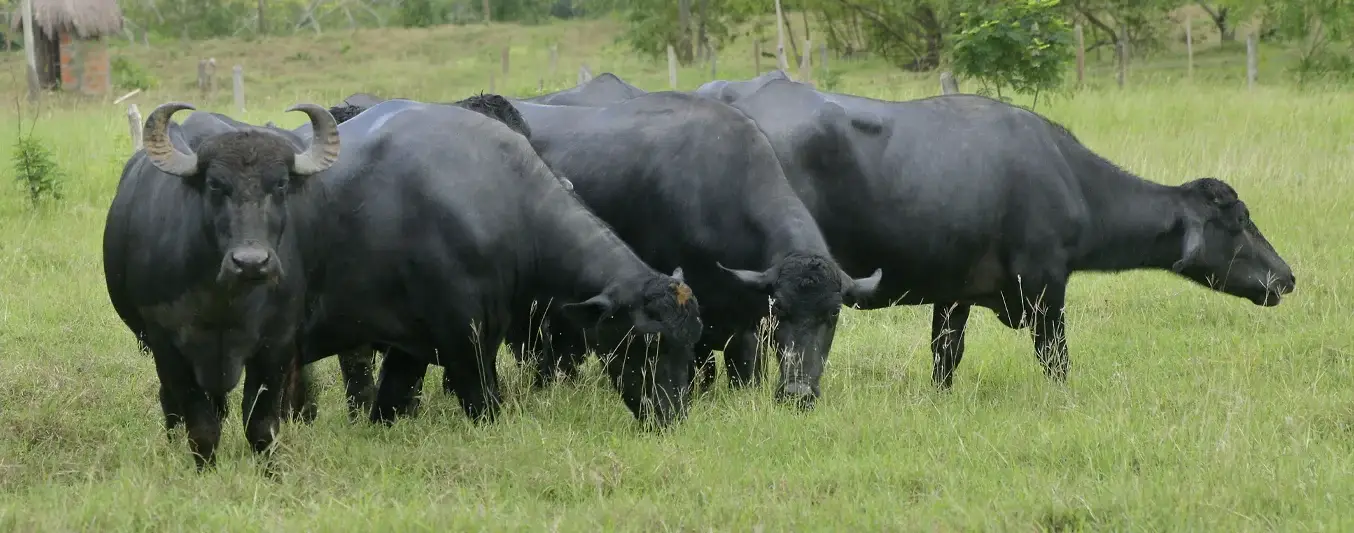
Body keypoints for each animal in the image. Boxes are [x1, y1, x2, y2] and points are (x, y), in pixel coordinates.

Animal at [102, 102, 340, 471]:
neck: (225, 302)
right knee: (172, 404)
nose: (251, 262)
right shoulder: (166, 343)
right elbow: (200, 425)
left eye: (281, 184)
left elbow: (261, 422)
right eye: (215, 184)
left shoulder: (277, 342)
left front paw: (270, 470)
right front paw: (205, 469)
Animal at [699, 77, 1297, 388]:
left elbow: (945, 357)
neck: (1067, 177)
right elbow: (1055, 358)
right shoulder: (1046, 287)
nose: (1287, 277)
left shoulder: (953, 294)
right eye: (1239, 220)